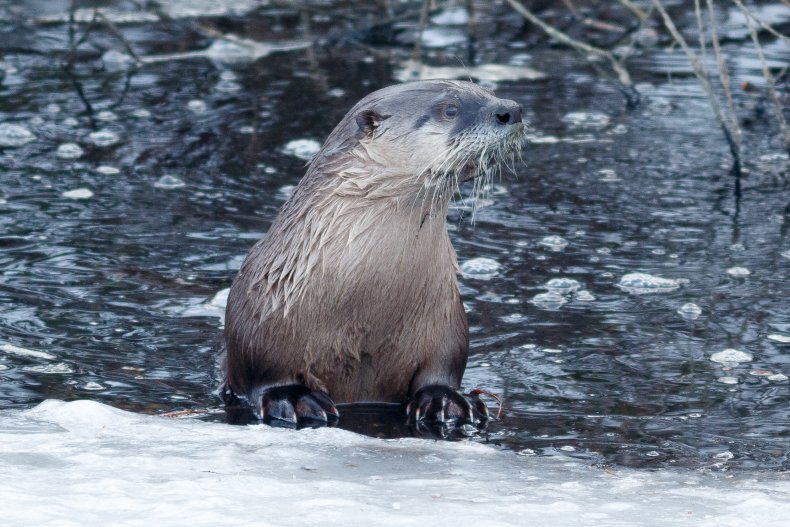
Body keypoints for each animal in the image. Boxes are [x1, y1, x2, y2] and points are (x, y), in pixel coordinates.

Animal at [224, 80, 524, 432]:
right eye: (450, 109)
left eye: (488, 92)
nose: (512, 110)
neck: (364, 301)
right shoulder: (261, 320)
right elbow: (267, 373)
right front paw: (292, 397)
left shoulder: (447, 322)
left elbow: (442, 369)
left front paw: (444, 399)